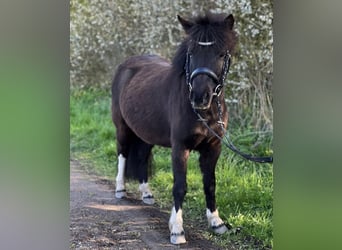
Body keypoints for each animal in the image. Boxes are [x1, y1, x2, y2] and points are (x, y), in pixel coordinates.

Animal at [111, 12, 236, 244]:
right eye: (191, 52)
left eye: (222, 54)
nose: (200, 97)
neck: (203, 113)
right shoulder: (180, 147)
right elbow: (179, 187)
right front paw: (177, 230)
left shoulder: (213, 147)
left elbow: (210, 184)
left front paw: (217, 223)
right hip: (122, 128)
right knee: (122, 154)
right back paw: (120, 189)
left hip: (146, 134)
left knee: (141, 158)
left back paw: (147, 193)